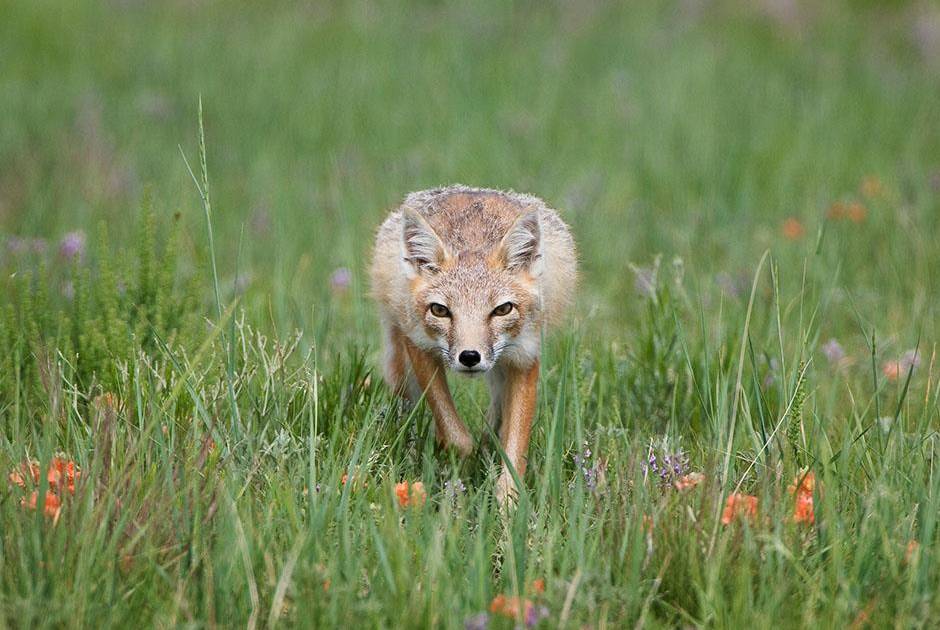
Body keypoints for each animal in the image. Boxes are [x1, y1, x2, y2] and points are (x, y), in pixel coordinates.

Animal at [370, 184, 576, 504]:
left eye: (502, 309)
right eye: (440, 310)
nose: (469, 356)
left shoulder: (525, 357)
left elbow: (515, 453)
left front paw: (508, 508)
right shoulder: (419, 345)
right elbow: (456, 436)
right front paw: (458, 465)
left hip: (500, 369)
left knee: (497, 411)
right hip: (401, 367)